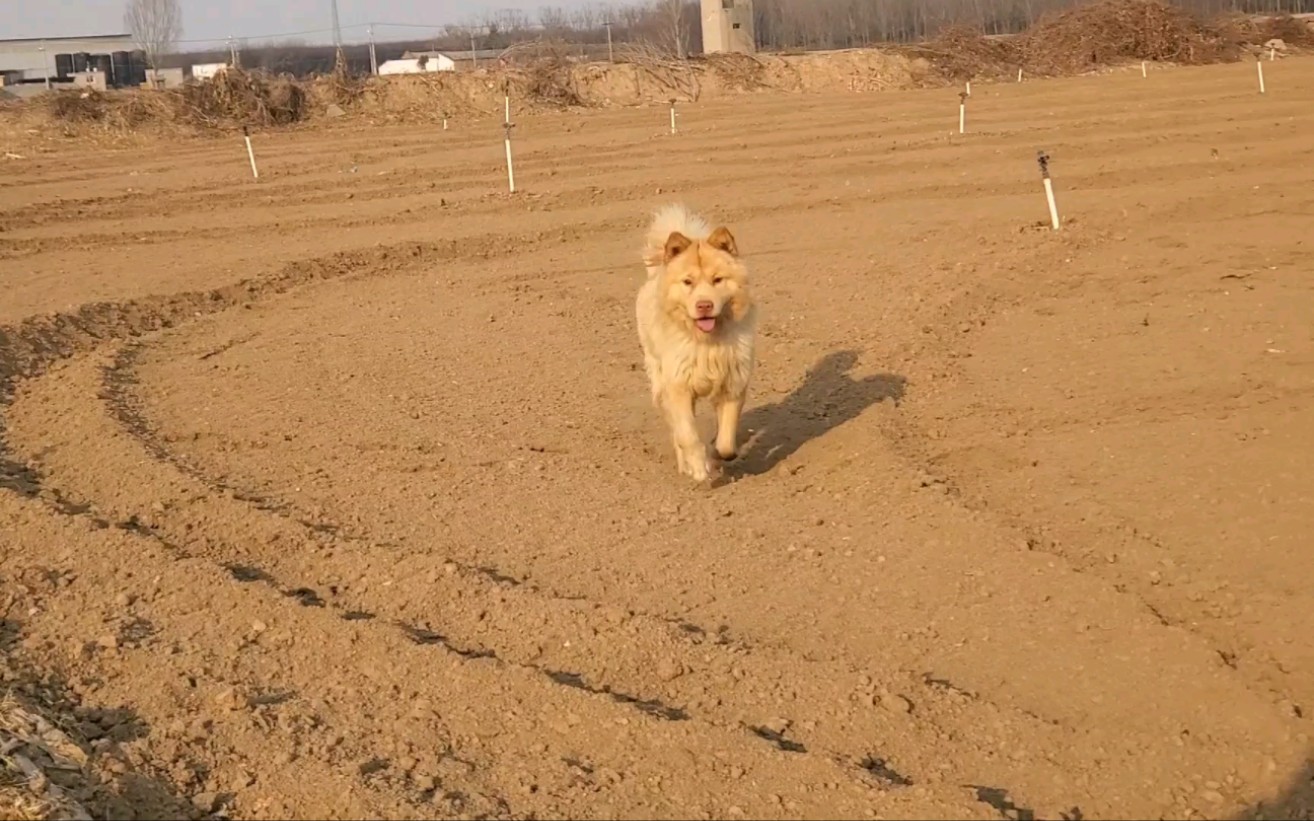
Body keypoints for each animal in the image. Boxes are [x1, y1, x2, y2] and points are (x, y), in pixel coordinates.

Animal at [633, 203, 756, 480]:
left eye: (717, 279)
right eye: (688, 282)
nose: (704, 305)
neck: (706, 342)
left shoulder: (733, 383)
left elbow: (726, 440)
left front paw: (718, 455)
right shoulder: (678, 387)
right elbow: (688, 435)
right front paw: (699, 468)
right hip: (659, 380)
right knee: (676, 432)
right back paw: (686, 465)